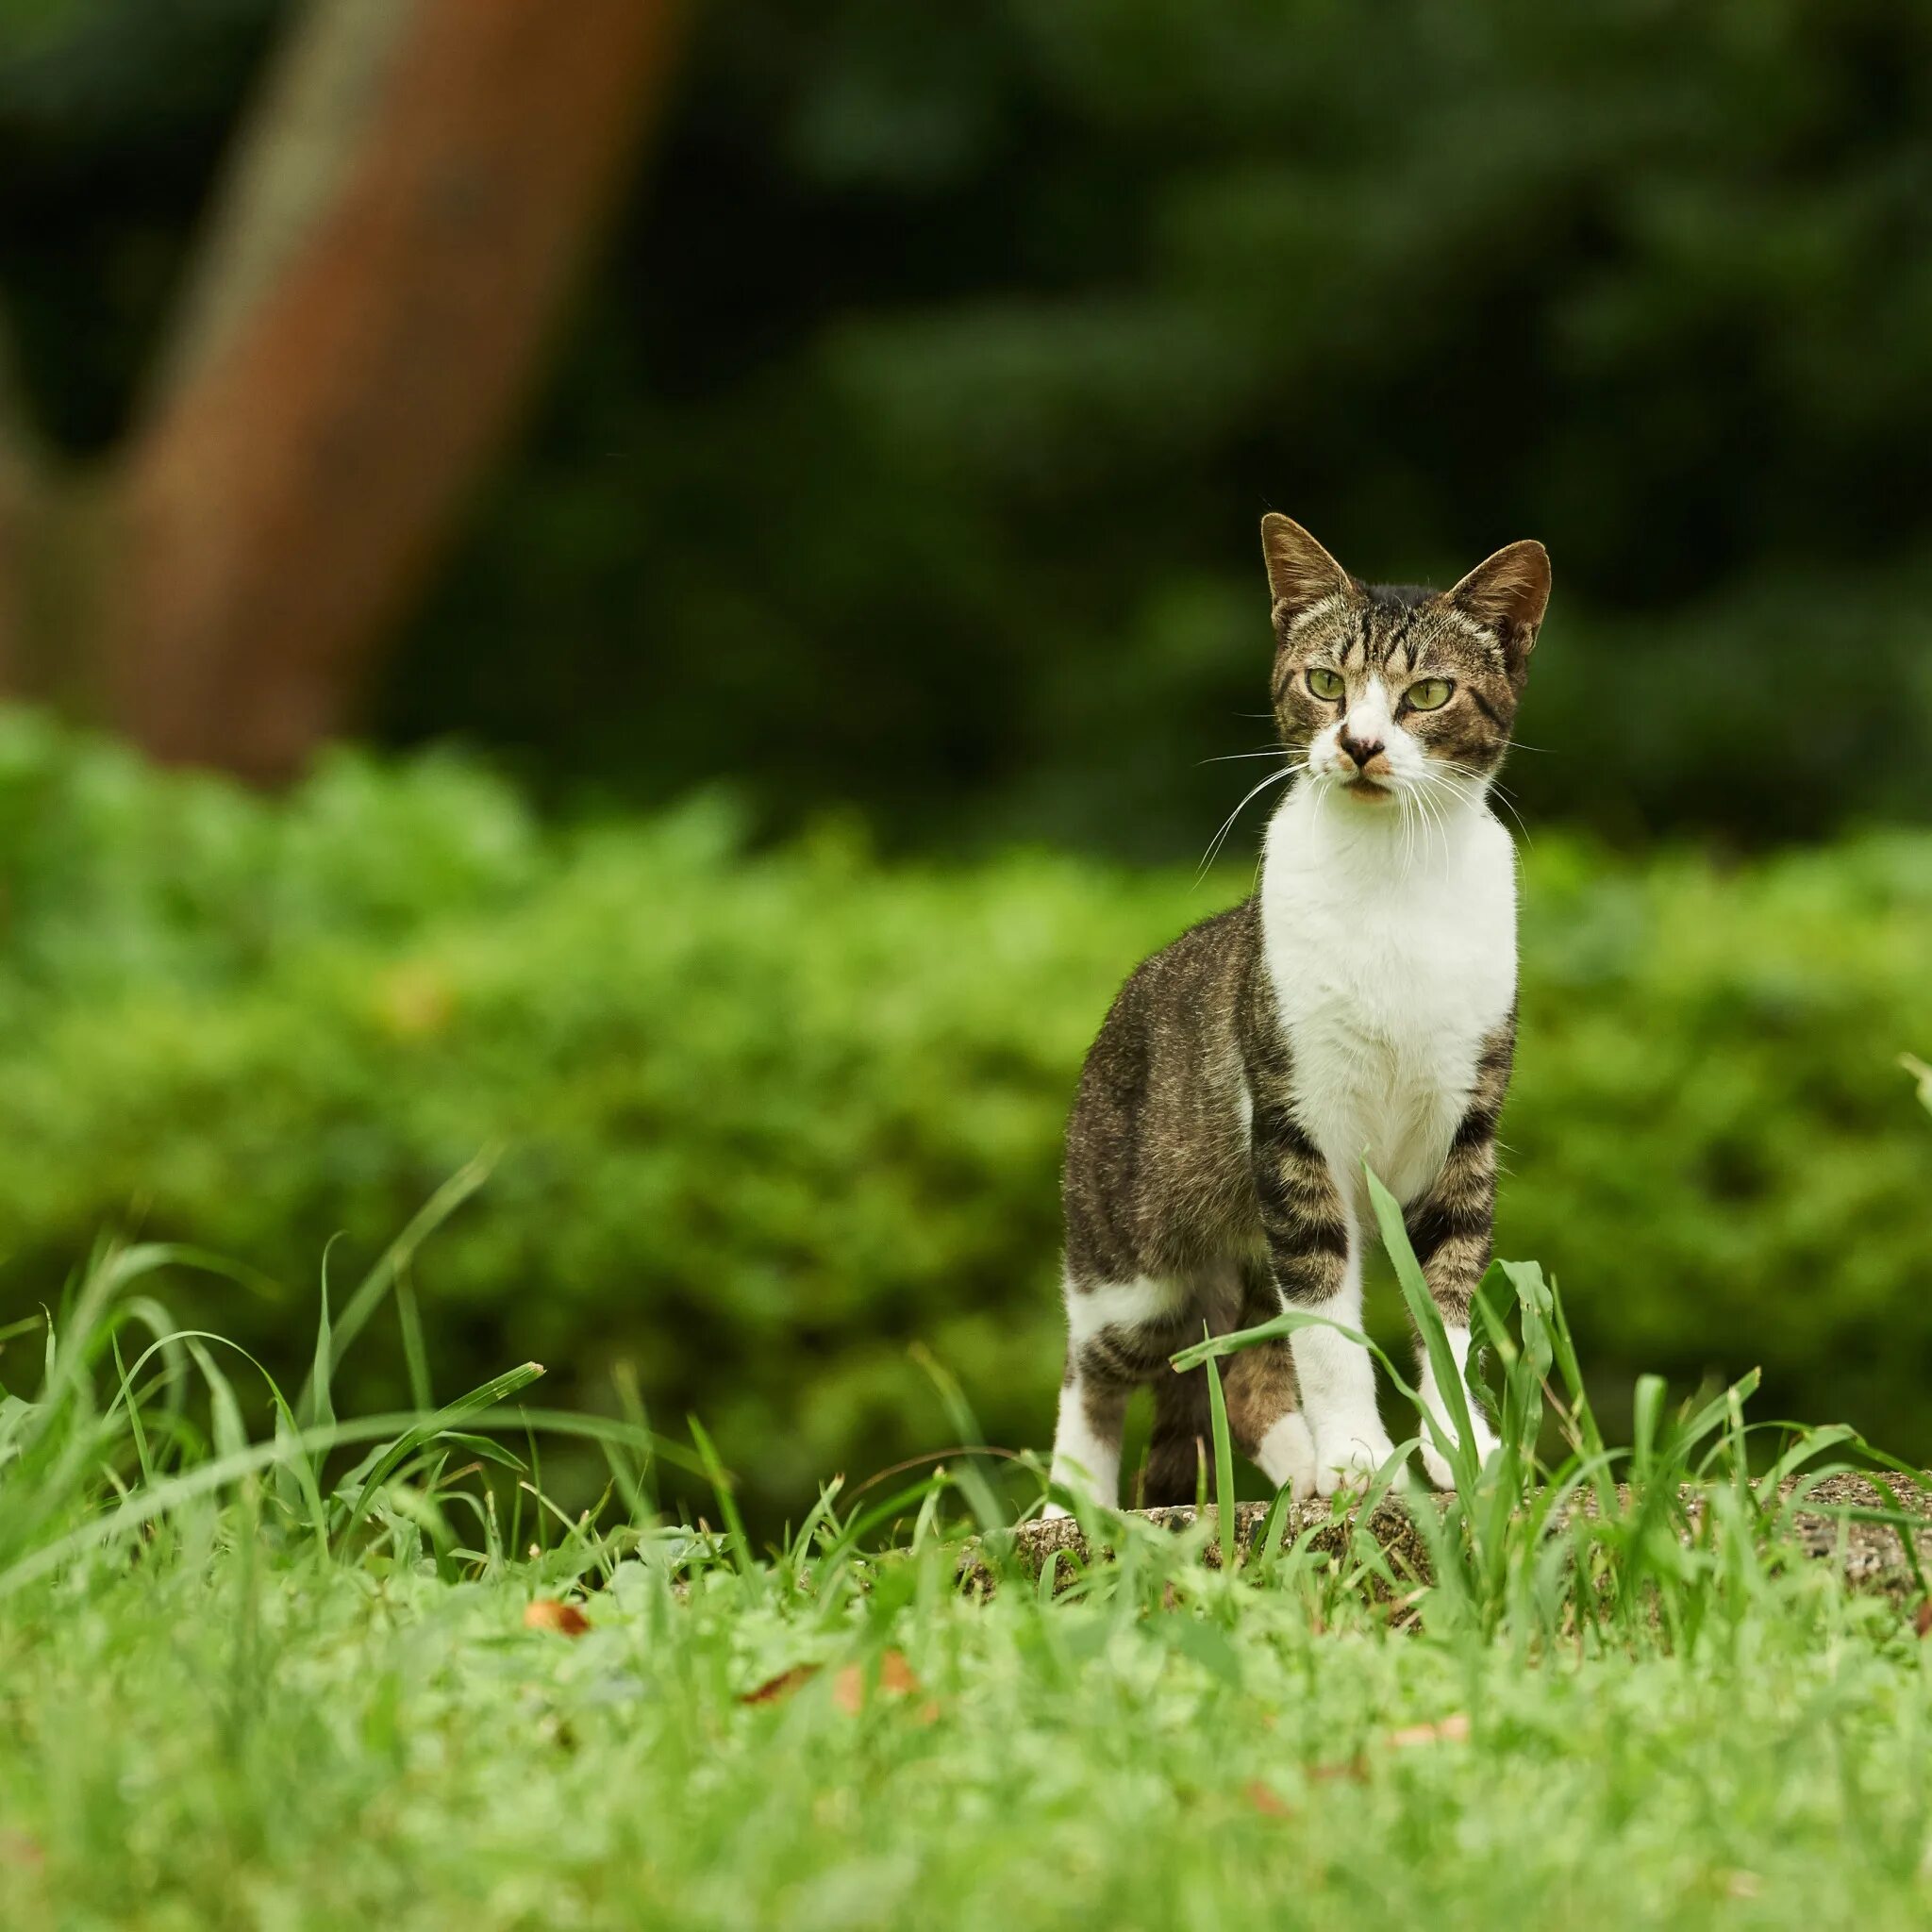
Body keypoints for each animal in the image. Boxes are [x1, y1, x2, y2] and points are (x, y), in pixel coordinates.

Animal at [1051, 521, 1545, 1514]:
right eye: (1324, 682)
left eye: (1427, 694)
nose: (1359, 742)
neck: (1392, 880)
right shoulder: (1294, 1127)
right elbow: (1326, 1322)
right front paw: (1358, 1454)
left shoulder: (1465, 1125)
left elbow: (1447, 1298)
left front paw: (1460, 1449)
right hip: (1134, 1263)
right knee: (1097, 1372)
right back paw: (1069, 1507)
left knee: (1238, 1372)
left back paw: (1302, 1469)